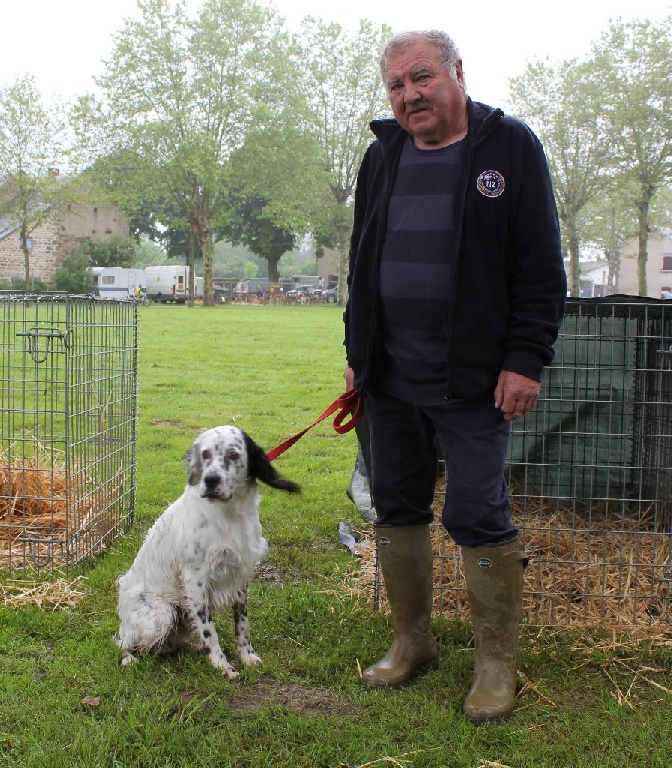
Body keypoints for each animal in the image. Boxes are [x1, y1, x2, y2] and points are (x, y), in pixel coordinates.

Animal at [116, 426, 300, 680]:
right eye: (205, 454)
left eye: (233, 454)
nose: (210, 480)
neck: (230, 514)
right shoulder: (196, 579)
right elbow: (208, 630)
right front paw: (222, 665)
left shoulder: (240, 575)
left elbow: (242, 624)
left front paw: (247, 656)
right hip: (161, 614)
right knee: (125, 641)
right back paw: (129, 658)